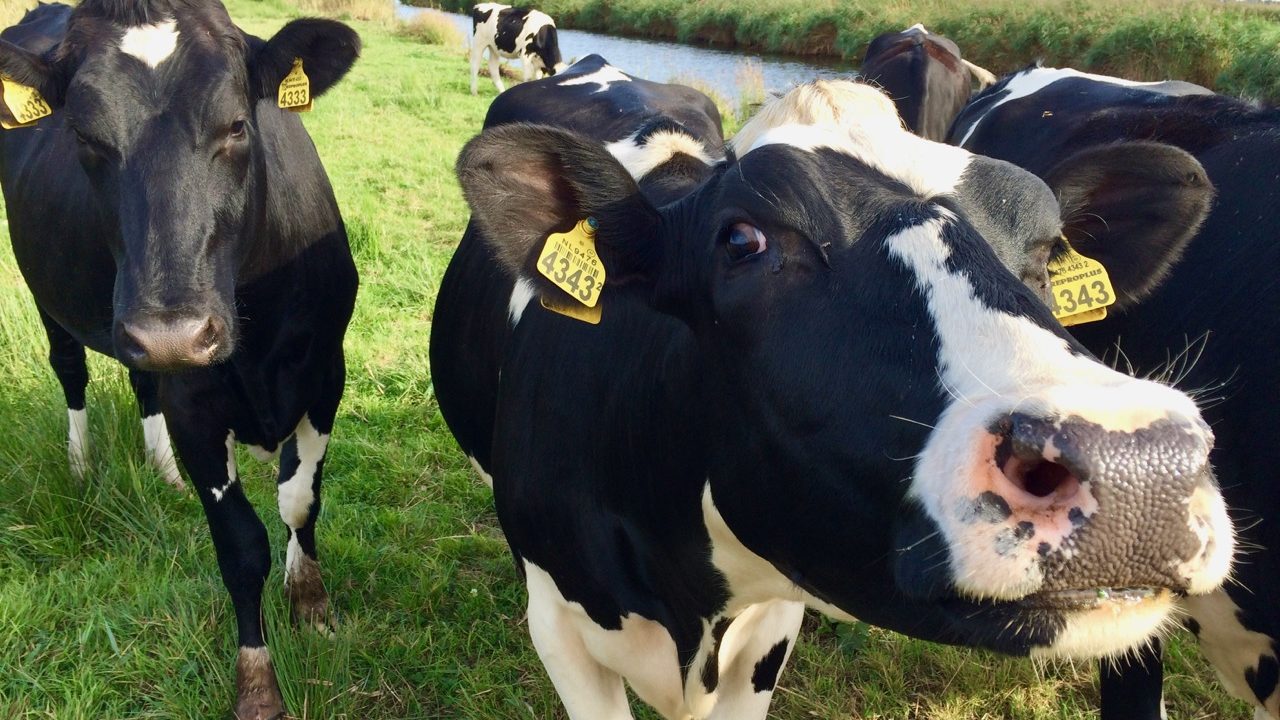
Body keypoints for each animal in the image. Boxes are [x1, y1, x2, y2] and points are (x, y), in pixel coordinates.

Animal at [0, 2, 360, 712]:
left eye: (238, 124)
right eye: (82, 135)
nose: (173, 334)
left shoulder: (324, 375)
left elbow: (300, 501)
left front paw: (310, 602)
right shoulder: (195, 408)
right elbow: (241, 548)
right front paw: (257, 685)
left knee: (142, 383)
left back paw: (160, 469)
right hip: (49, 296)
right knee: (72, 372)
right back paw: (81, 465)